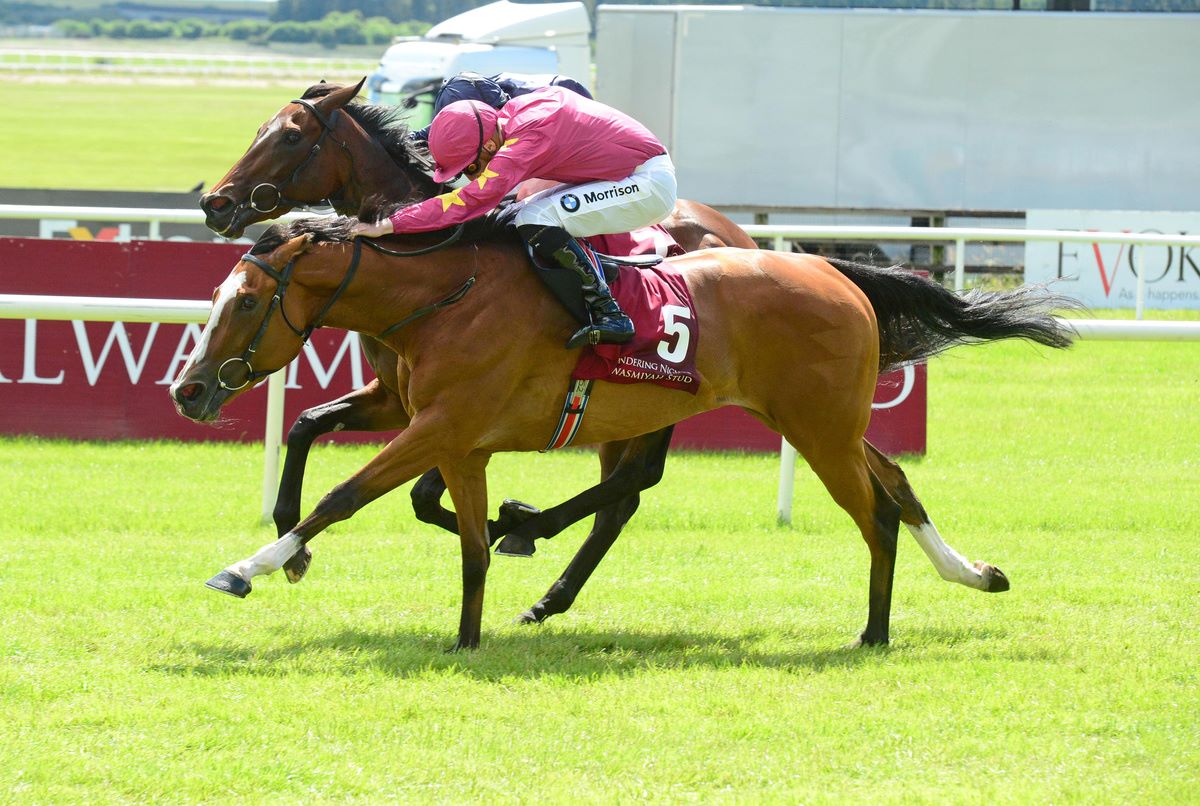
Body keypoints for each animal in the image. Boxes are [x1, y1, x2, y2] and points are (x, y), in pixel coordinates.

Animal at [169, 217, 1080, 652]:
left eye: (244, 301)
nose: (188, 389)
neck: (444, 297)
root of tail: (833, 269)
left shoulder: (442, 425)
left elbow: (345, 495)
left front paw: (249, 567)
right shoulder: (440, 428)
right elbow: (434, 520)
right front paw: (467, 634)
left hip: (818, 429)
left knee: (876, 514)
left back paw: (875, 630)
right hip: (824, 421)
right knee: (897, 480)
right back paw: (973, 572)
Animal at [196, 77, 758, 623]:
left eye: (291, 137)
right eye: (261, 128)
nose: (215, 203)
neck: (442, 272)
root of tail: (744, 238)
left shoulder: (454, 409)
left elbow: (422, 493)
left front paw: (498, 524)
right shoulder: (398, 398)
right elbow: (307, 424)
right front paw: (294, 548)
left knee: (636, 479)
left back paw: (532, 538)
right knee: (623, 494)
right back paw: (545, 587)